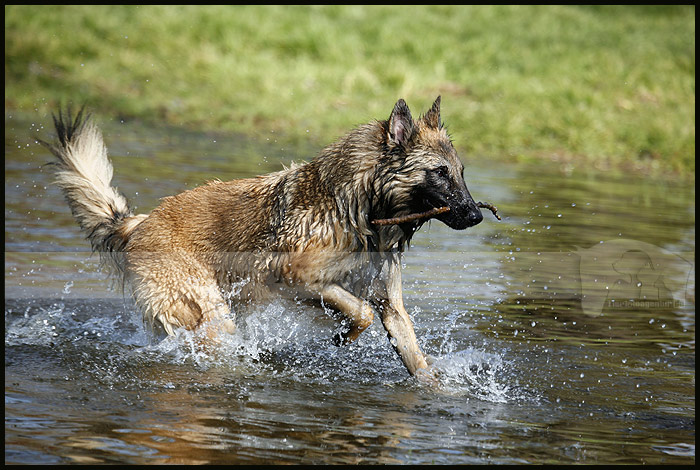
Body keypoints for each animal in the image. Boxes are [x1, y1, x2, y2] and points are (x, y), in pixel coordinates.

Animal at [42, 97, 482, 380]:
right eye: (440, 172)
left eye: (461, 172)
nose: (478, 215)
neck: (359, 207)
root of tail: (139, 222)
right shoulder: (292, 276)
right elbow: (360, 312)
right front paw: (343, 336)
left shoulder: (390, 304)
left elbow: (416, 359)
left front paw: (439, 392)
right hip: (212, 316)